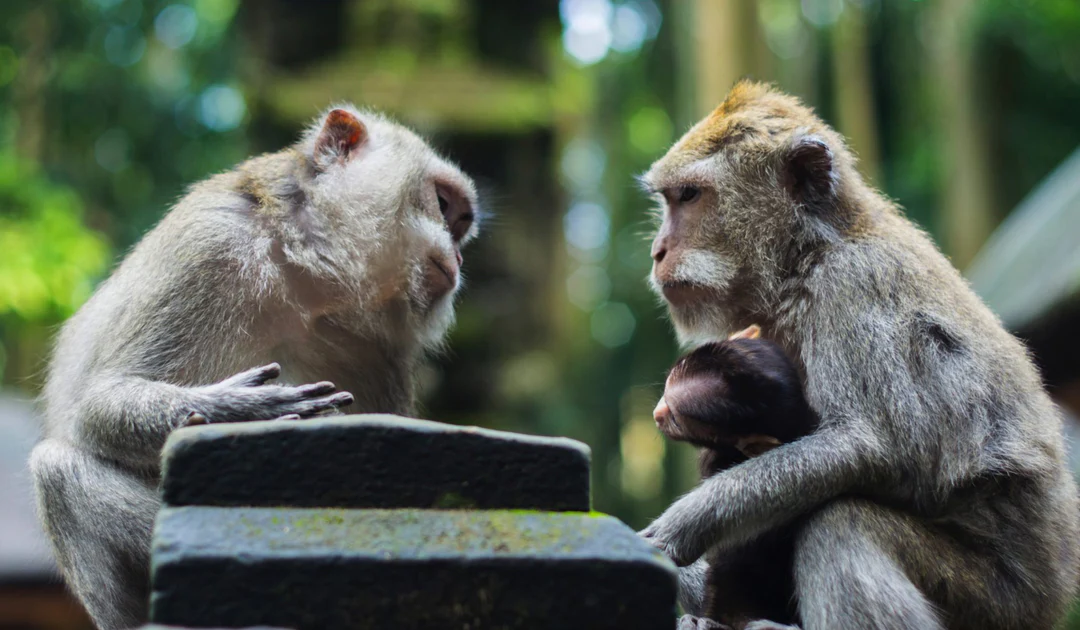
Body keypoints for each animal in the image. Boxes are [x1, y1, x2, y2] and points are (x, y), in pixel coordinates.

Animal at [28, 105, 479, 630]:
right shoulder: (209, 243)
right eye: (442, 204)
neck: (306, 275)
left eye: (461, 223)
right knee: (58, 470)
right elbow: (97, 405)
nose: (460, 254)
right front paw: (240, 409)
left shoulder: (382, 348)